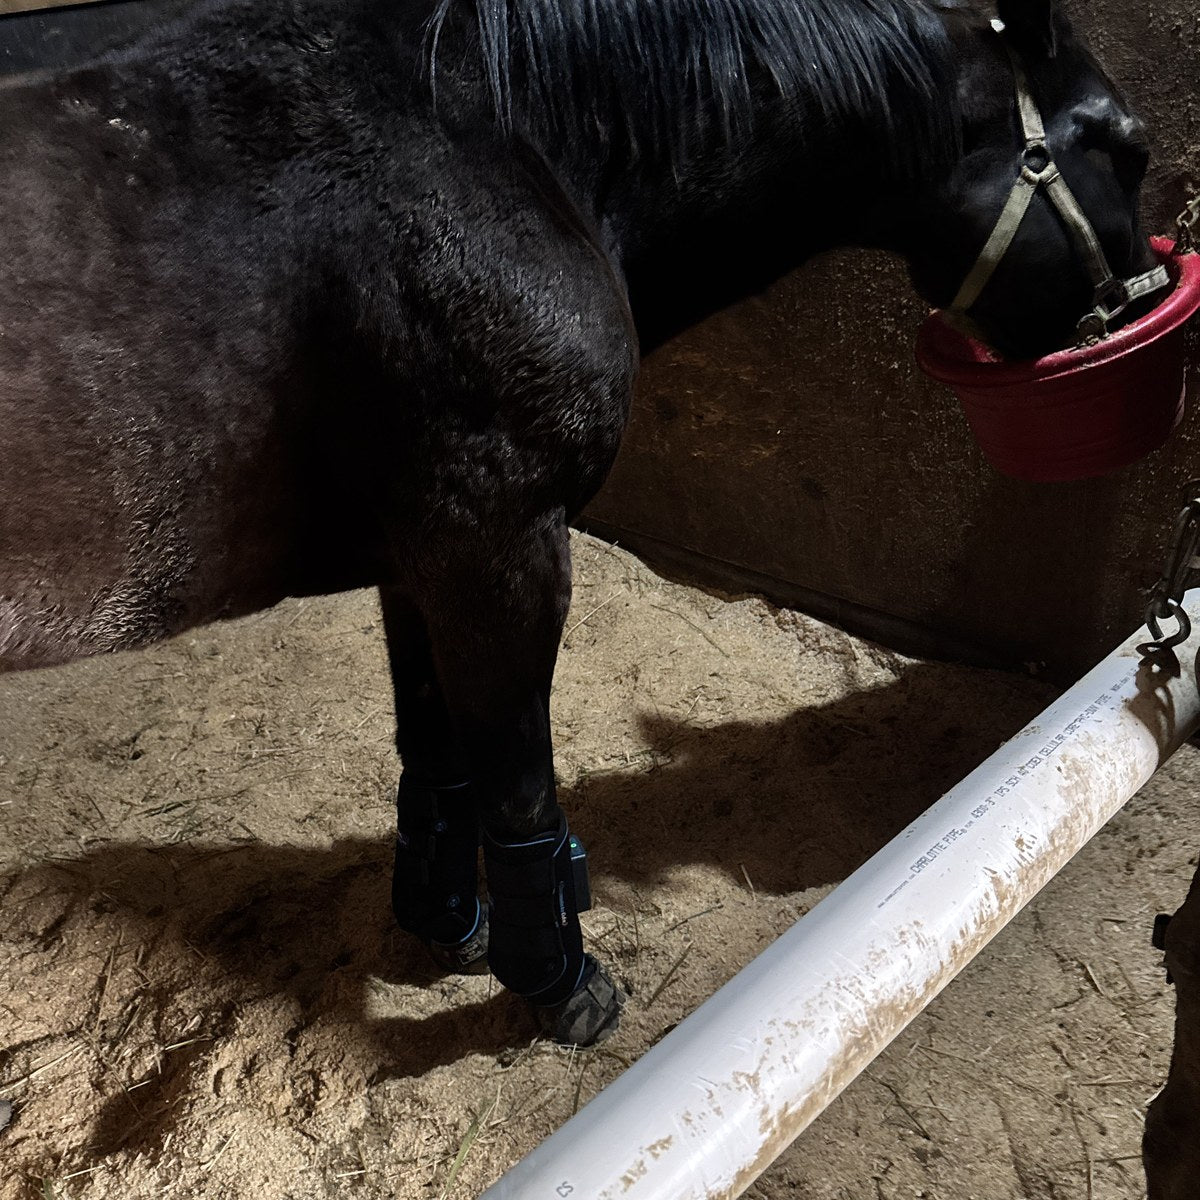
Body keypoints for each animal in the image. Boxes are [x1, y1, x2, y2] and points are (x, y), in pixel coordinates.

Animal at [0, 0, 1161, 1045]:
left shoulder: (419, 562)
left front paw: (448, 926)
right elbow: (518, 785)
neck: (499, 152)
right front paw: (557, 985)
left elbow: (440, 759)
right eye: (1129, 144)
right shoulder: (503, 548)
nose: (1148, 309)